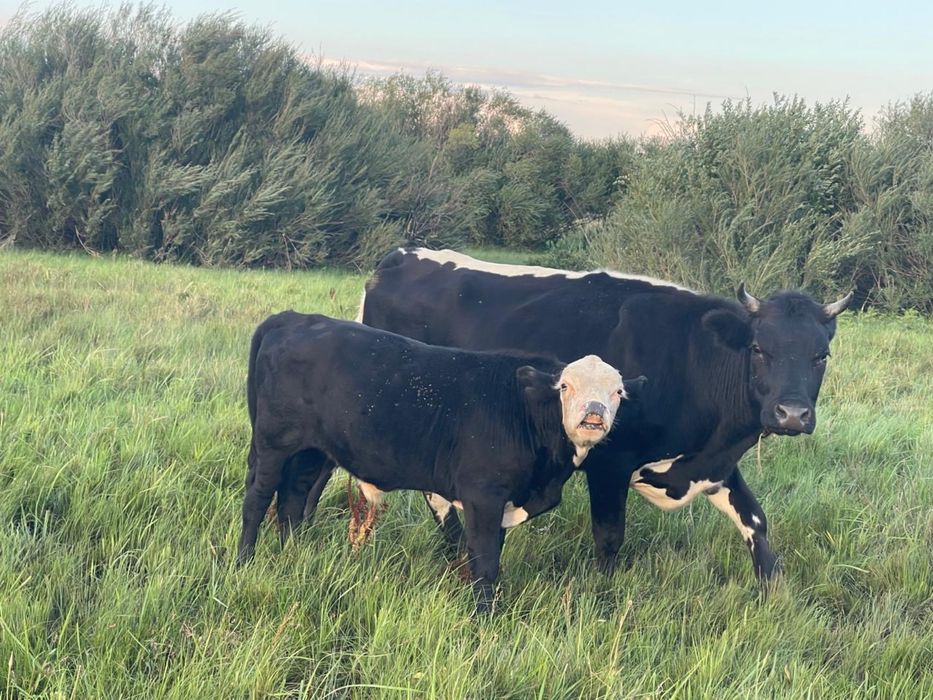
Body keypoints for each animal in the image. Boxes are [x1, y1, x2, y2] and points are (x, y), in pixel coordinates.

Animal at [238, 311, 645, 612]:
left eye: (617, 392)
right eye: (565, 386)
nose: (594, 414)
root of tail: (293, 318)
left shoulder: (500, 502)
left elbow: (491, 551)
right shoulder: (483, 494)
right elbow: (484, 559)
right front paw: (484, 616)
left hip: (311, 450)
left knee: (292, 500)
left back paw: (293, 555)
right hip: (273, 444)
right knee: (258, 499)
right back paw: (245, 560)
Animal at [358, 248, 854, 583]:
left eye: (821, 355)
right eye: (758, 348)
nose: (791, 414)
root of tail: (399, 258)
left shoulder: (714, 463)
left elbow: (756, 522)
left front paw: (774, 596)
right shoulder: (610, 462)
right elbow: (610, 536)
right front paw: (602, 597)